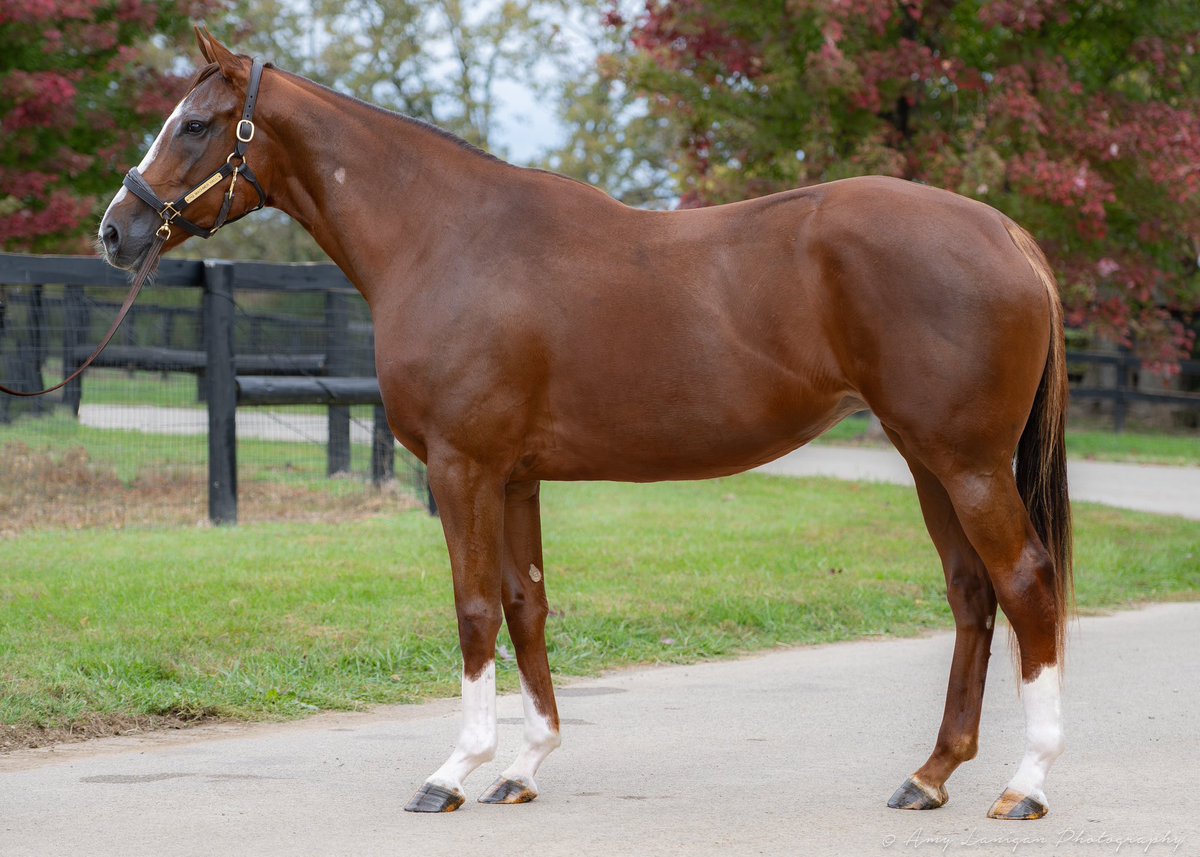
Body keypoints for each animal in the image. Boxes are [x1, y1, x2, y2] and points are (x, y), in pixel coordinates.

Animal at [98, 27, 1072, 820]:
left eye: (195, 125)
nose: (116, 230)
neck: (445, 237)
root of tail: (1008, 233)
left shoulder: (461, 466)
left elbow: (473, 609)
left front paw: (453, 770)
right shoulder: (515, 475)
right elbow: (525, 604)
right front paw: (523, 765)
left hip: (967, 462)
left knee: (1026, 583)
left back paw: (1027, 783)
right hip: (929, 458)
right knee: (972, 593)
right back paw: (931, 775)